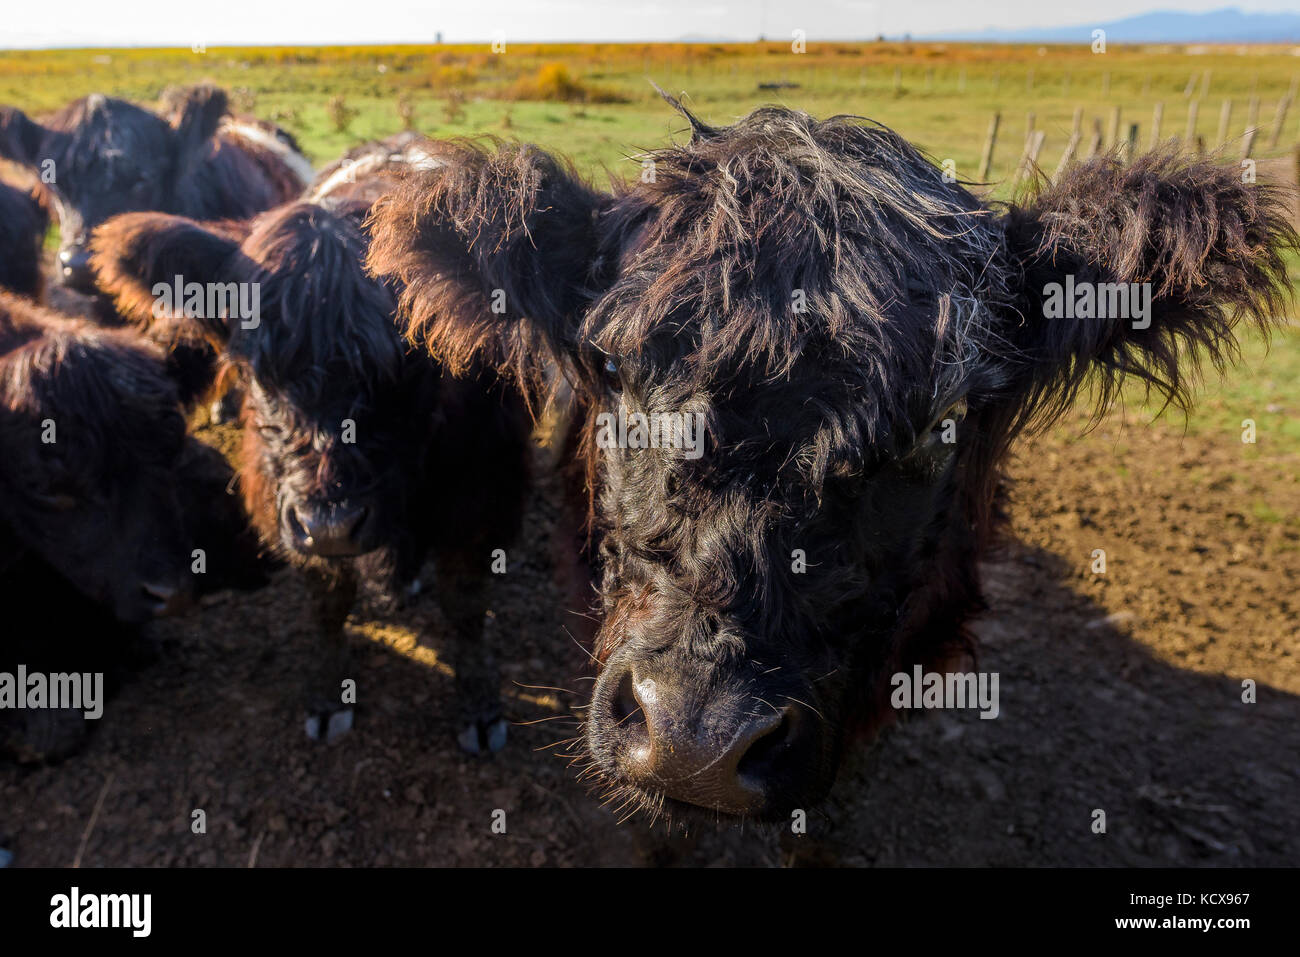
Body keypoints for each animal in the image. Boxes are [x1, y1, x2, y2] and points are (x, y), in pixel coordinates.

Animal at [90, 135, 532, 752]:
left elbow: (465, 605)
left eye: (411, 354)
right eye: (254, 364)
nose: (332, 525)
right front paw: (327, 696)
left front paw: (480, 705)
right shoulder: (285, 504)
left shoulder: (483, 492)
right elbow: (328, 603)